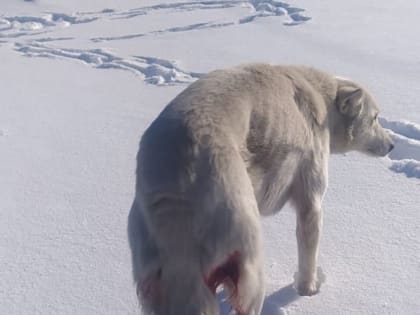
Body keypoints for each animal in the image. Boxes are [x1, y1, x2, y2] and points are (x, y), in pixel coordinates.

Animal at [127, 64, 394, 315]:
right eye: (375, 118)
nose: (392, 145)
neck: (322, 99)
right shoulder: (311, 201)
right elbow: (308, 255)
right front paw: (308, 291)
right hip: (250, 267)